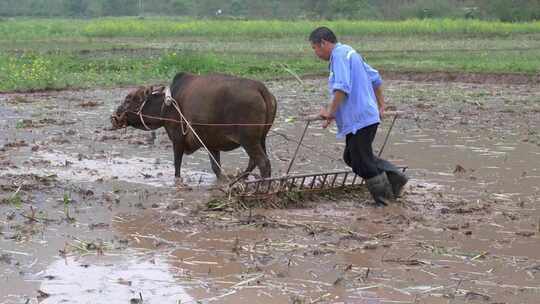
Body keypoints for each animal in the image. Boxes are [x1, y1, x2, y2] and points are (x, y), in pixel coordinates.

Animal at [111, 72, 276, 179]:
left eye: (129, 99)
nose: (115, 116)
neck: (166, 104)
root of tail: (262, 89)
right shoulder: (211, 143)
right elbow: (216, 168)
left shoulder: (177, 138)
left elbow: (177, 165)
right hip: (261, 139)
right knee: (255, 163)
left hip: (249, 140)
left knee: (263, 163)